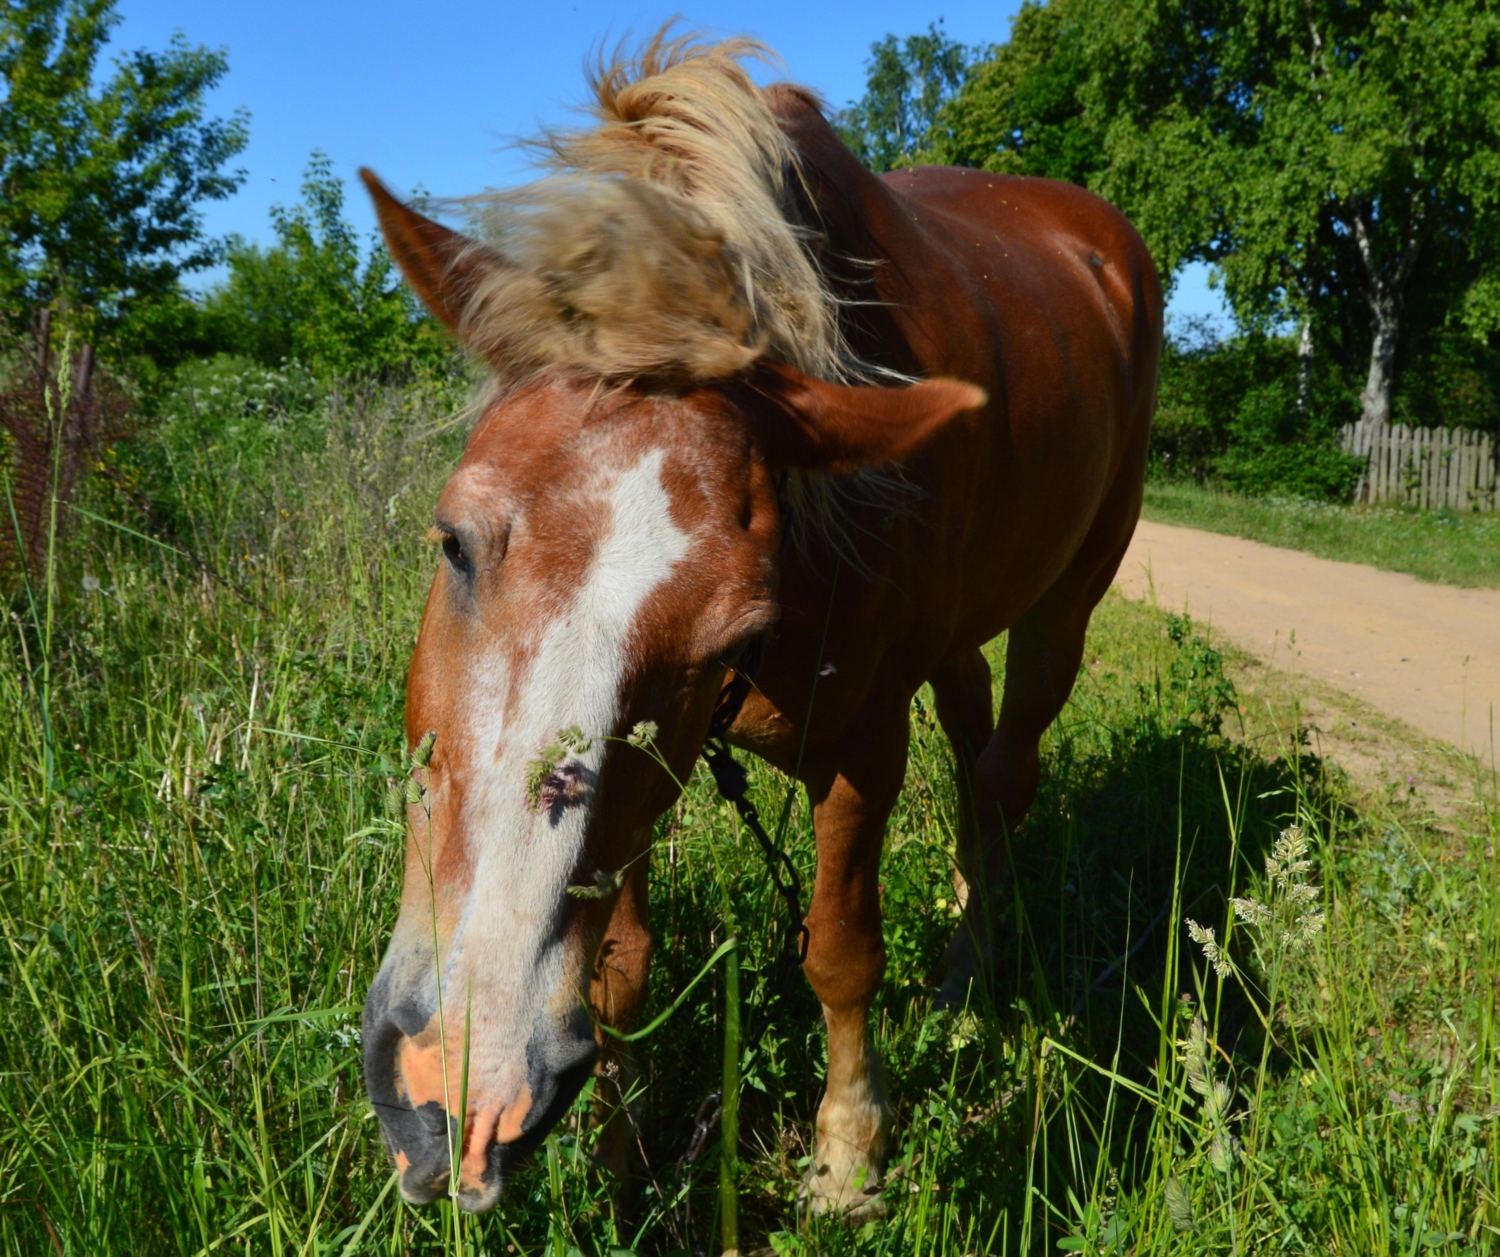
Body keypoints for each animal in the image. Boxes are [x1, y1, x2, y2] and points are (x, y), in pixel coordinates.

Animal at [360, 34, 1158, 1224]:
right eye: (455, 542)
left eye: (729, 637)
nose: (460, 1087)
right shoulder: (640, 787)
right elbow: (621, 962)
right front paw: (618, 1159)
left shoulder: (863, 746)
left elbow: (841, 951)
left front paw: (848, 1159)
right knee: (977, 758)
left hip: (1067, 604)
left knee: (1007, 771)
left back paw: (966, 985)